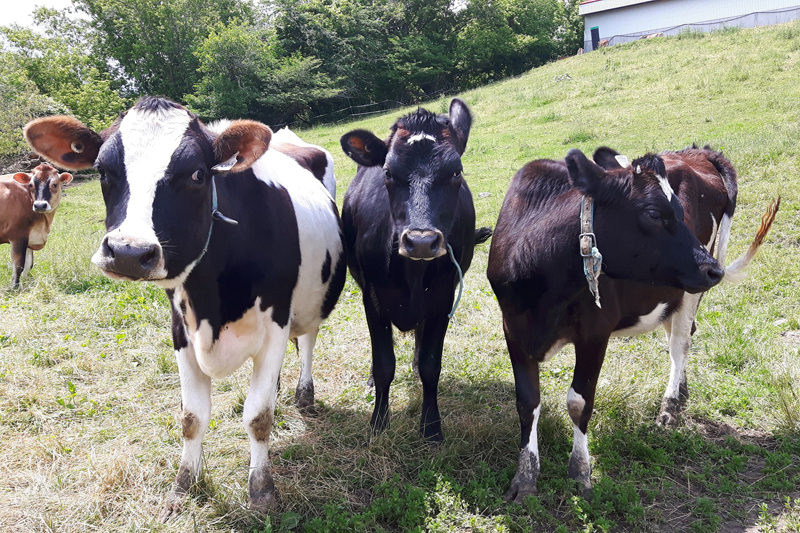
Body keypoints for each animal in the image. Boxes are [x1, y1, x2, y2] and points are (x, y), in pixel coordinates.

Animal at [22, 95, 344, 516]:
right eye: (104, 171)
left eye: (197, 175)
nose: (128, 252)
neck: (214, 301)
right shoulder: (181, 329)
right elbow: (192, 418)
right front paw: (183, 485)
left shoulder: (275, 322)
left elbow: (258, 417)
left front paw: (262, 490)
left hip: (311, 300)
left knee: (307, 340)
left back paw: (304, 394)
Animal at [338, 98, 488, 440]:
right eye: (388, 172)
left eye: (456, 171)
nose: (421, 241)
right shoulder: (372, 298)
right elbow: (384, 364)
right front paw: (378, 423)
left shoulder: (443, 299)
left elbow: (432, 366)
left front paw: (431, 427)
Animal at [484, 147, 780, 502]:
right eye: (653, 213)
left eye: (680, 211)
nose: (714, 271)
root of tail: (698, 152)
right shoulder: (513, 329)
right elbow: (527, 402)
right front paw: (525, 477)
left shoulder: (595, 332)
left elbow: (579, 402)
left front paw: (580, 472)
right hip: (670, 293)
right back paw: (681, 394)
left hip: (690, 290)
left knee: (680, 344)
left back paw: (669, 407)